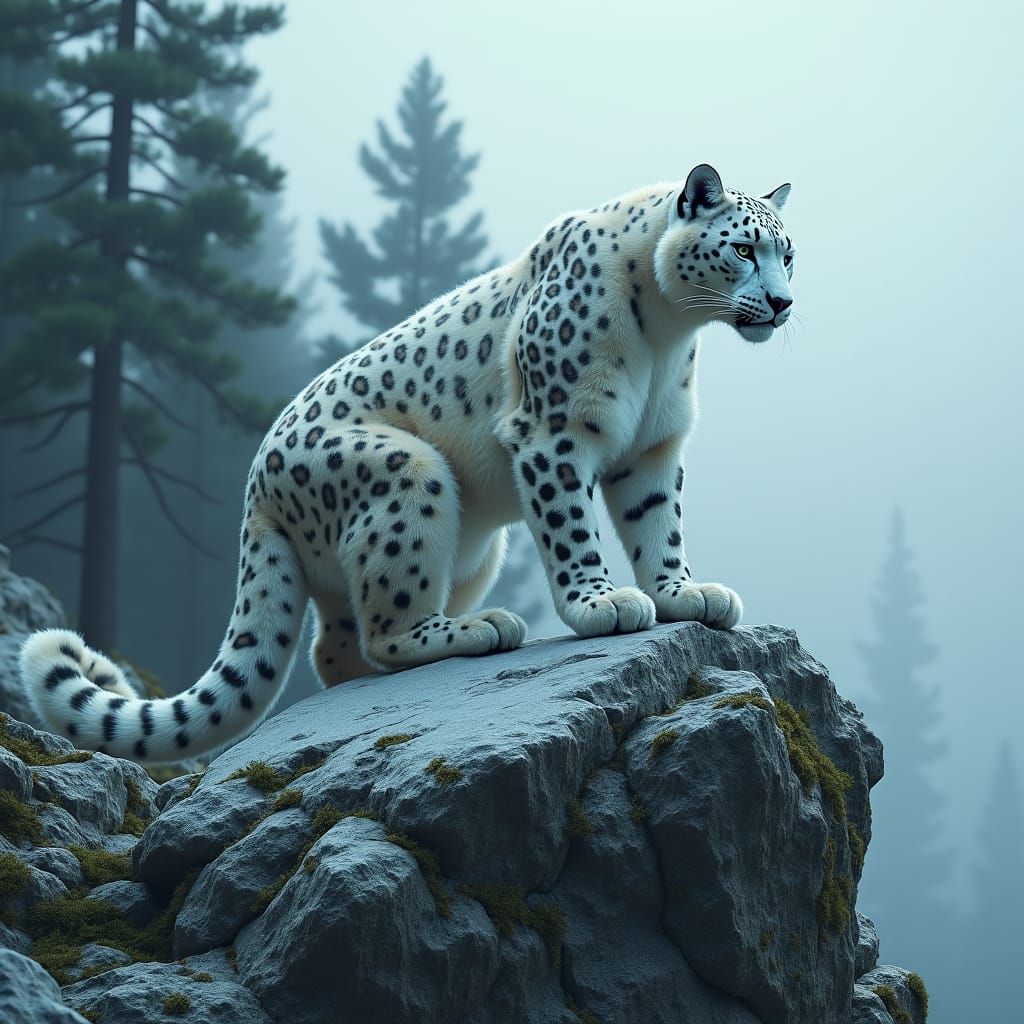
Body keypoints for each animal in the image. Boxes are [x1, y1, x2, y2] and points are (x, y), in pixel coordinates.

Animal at [21, 163, 795, 763]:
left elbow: (658, 525)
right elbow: (574, 527)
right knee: (384, 625)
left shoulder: (653, 446)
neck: (667, 332)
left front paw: (683, 593)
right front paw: (600, 602)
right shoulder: (553, 432)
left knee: (335, 645)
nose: (784, 302)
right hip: (408, 475)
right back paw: (475, 631)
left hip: (468, 550)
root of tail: (255, 492)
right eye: (745, 247)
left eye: (789, 253)